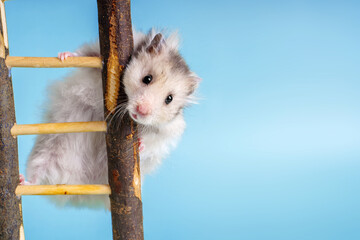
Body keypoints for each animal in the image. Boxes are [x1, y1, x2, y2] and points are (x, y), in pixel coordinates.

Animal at [24, 28, 201, 208]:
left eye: (169, 99)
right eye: (147, 78)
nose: (141, 111)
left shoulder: (167, 131)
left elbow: (152, 142)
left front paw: (140, 143)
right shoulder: (96, 55)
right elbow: (84, 55)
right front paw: (64, 56)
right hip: (47, 151)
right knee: (36, 176)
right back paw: (23, 181)